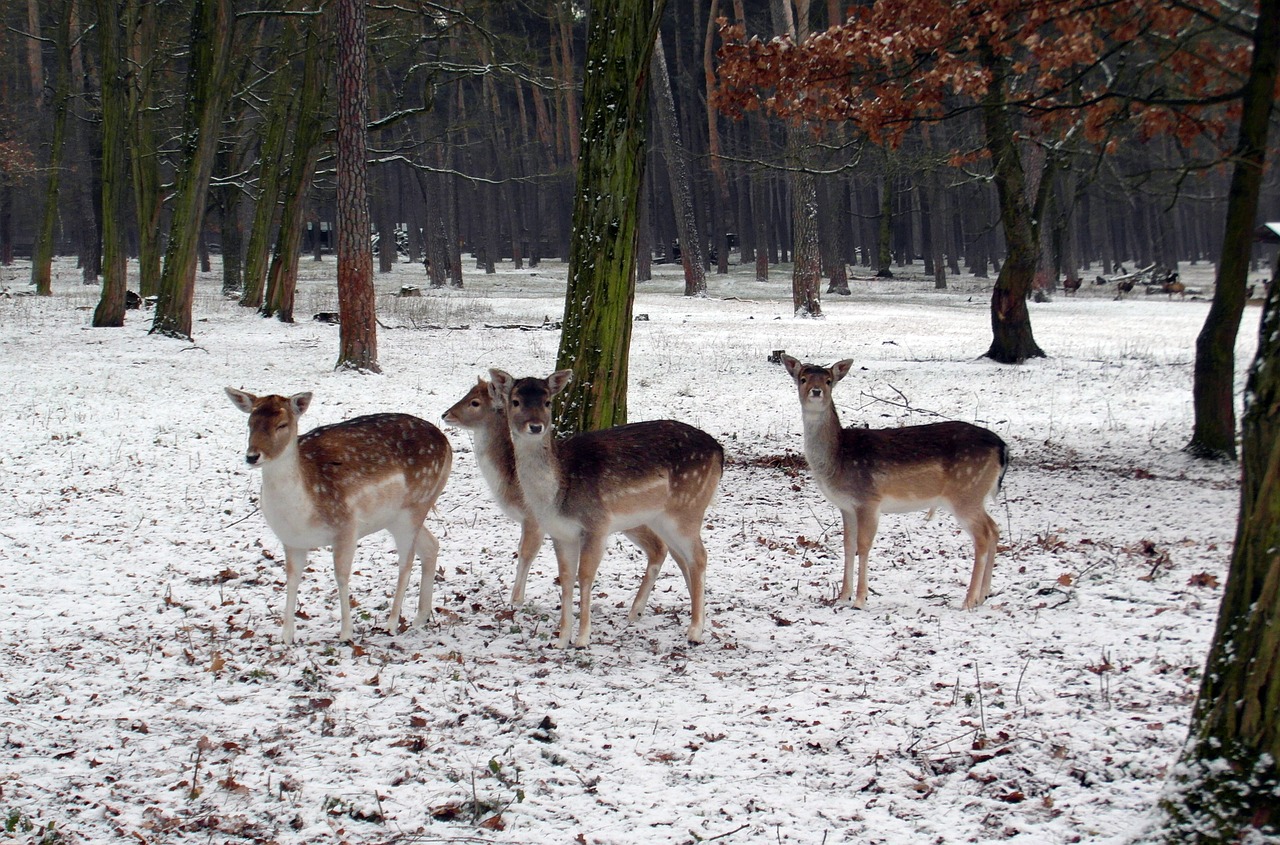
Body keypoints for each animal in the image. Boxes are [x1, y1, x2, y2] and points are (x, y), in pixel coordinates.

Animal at [226, 386, 455, 640]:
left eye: (282, 424)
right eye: (250, 422)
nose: (252, 456)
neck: (303, 512)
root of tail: (447, 443)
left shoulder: (347, 527)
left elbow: (342, 576)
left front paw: (346, 632)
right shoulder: (291, 540)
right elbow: (292, 578)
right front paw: (286, 636)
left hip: (414, 507)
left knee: (406, 561)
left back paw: (391, 623)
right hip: (396, 516)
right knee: (431, 545)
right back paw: (420, 617)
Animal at [442, 378, 670, 609]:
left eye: (475, 402)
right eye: (469, 393)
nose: (445, 414)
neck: (510, 482)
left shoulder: (533, 518)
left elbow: (525, 553)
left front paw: (515, 601)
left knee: (660, 546)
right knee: (659, 547)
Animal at [486, 366, 727, 650]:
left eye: (547, 402)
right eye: (515, 401)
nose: (535, 426)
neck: (557, 493)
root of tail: (720, 451)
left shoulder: (596, 524)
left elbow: (585, 576)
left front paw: (582, 638)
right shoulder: (560, 532)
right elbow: (566, 578)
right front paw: (561, 639)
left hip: (688, 507)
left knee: (699, 556)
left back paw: (695, 630)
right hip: (661, 517)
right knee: (681, 556)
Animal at [778, 355, 1008, 606]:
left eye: (829, 380)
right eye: (803, 378)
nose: (816, 391)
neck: (838, 458)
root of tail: (1002, 447)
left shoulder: (868, 499)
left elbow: (863, 545)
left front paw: (860, 599)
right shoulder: (846, 506)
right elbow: (848, 545)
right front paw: (843, 596)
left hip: (966, 492)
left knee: (983, 536)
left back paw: (968, 601)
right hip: (976, 495)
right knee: (994, 528)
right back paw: (983, 595)